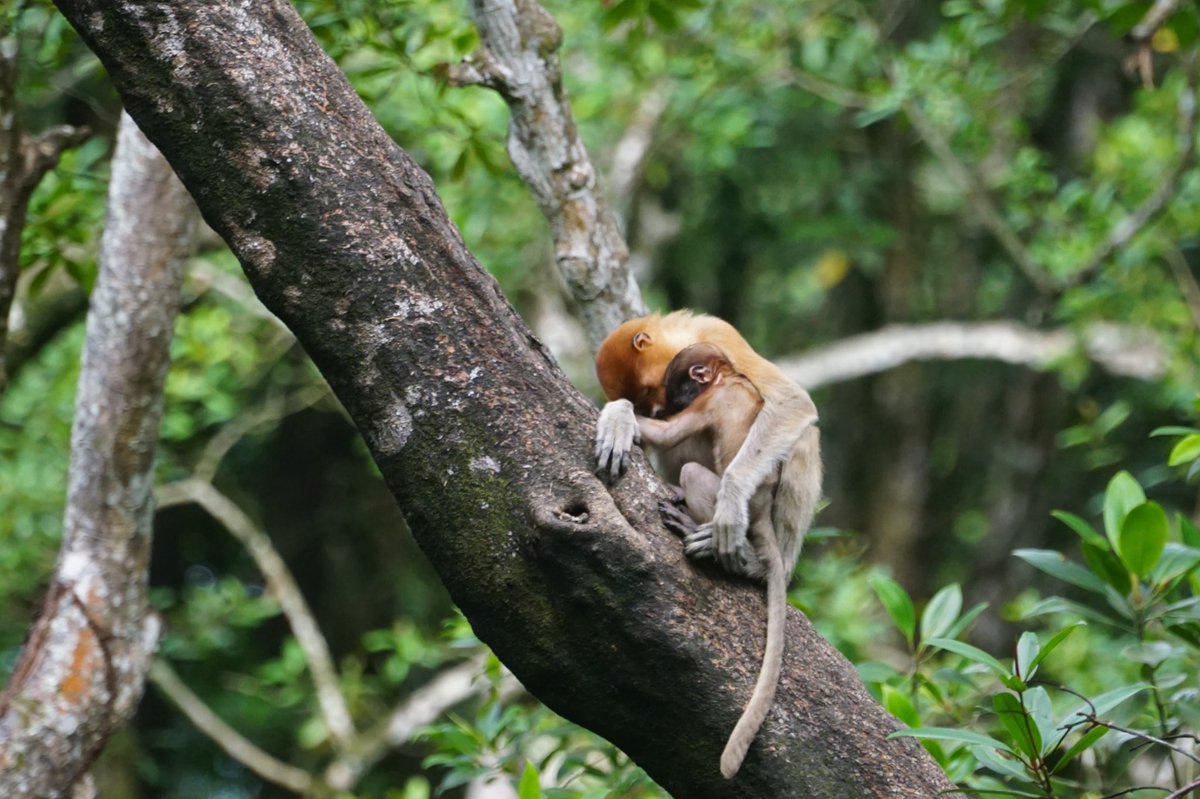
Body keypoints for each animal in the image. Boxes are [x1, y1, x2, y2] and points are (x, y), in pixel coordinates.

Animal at [594, 310, 819, 575]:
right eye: (640, 402)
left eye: (648, 390)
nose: (658, 411)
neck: (687, 339)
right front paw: (618, 418)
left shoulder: (720, 334)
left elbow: (793, 401)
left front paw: (731, 502)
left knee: (805, 436)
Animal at [635, 342, 821, 778]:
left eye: (678, 389)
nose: (667, 404)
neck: (730, 378)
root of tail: (764, 515)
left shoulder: (709, 402)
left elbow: (669, 434)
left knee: (692, 472)